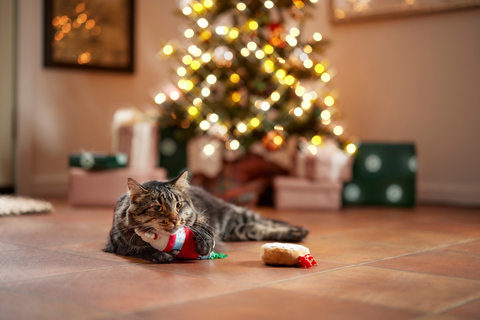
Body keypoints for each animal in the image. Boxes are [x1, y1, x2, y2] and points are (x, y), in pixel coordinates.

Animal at [104, 171, 308, 264]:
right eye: (157, 207)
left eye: (178, 205)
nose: (175, 219)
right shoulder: (118, 243)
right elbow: (141, 249)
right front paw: (160, 255)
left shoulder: (198, 216)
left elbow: (203, 228)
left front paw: (205, 245)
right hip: (241, 230)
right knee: (262, 228)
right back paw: (293, 234)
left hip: (237, 217)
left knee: (266, 221)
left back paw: (299, 231)